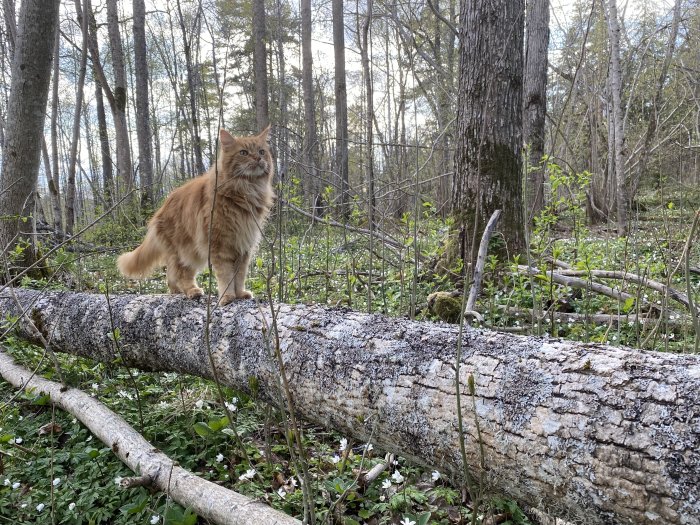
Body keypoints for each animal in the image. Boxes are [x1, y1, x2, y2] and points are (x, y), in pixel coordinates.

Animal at [117, 127, 274, 304]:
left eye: (261, 151)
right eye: (244, 153)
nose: (258, 158)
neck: (246, 191)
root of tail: (159, 211)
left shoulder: (243, 247)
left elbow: (239, 275)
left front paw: (240, 294)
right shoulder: (220, 246)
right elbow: (226, 275)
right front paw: (227, 297)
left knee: (170, 277)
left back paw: (177, 292)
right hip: (184, 252)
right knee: (180, 274)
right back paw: (192, 291)